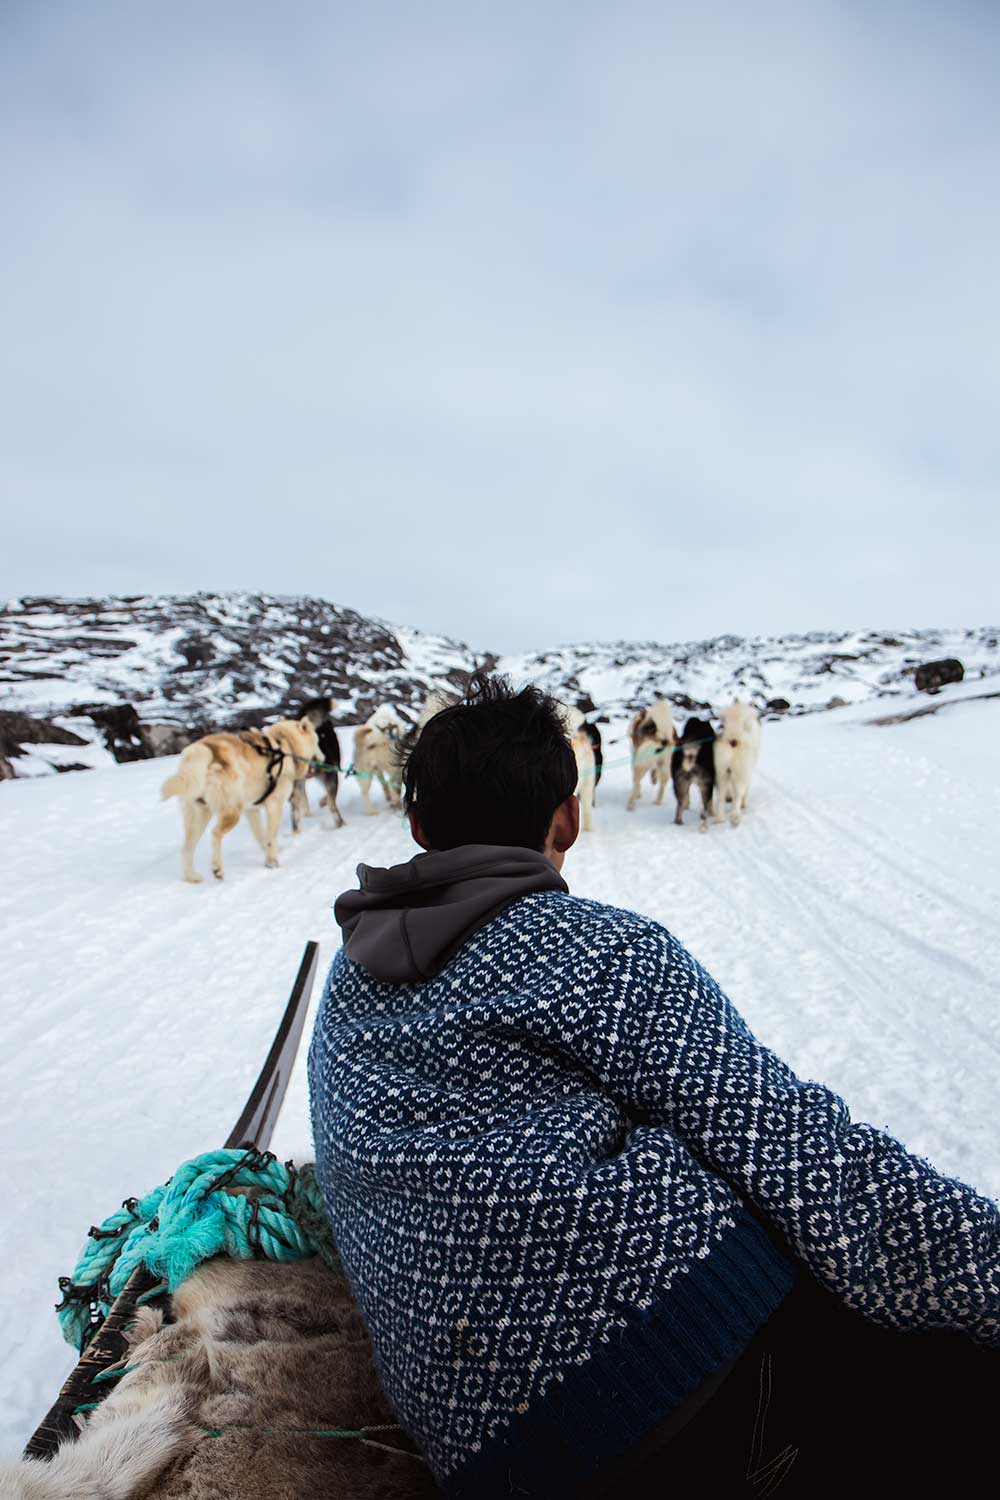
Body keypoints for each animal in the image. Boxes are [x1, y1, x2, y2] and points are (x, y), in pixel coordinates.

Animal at [160, 717, 319, 876]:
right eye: (317, 742)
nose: (321, 757)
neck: (285, 744)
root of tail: (203, 748)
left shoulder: (252, 810)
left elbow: (261, 836)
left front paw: (270, 855)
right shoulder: (275, 804)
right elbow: (271, 837)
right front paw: (272, 862)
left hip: (200, 815)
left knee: (187, 848)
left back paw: (192, 878)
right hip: (232, 812)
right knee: (215, 833)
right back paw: (217, 868)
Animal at [716, 705, 761, 834]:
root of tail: (733, 739)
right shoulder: (747, 772)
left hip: (722, 773)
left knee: (721, 796)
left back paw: (719, 818)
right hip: (741, 771)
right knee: (738, 795)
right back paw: (735, 817)